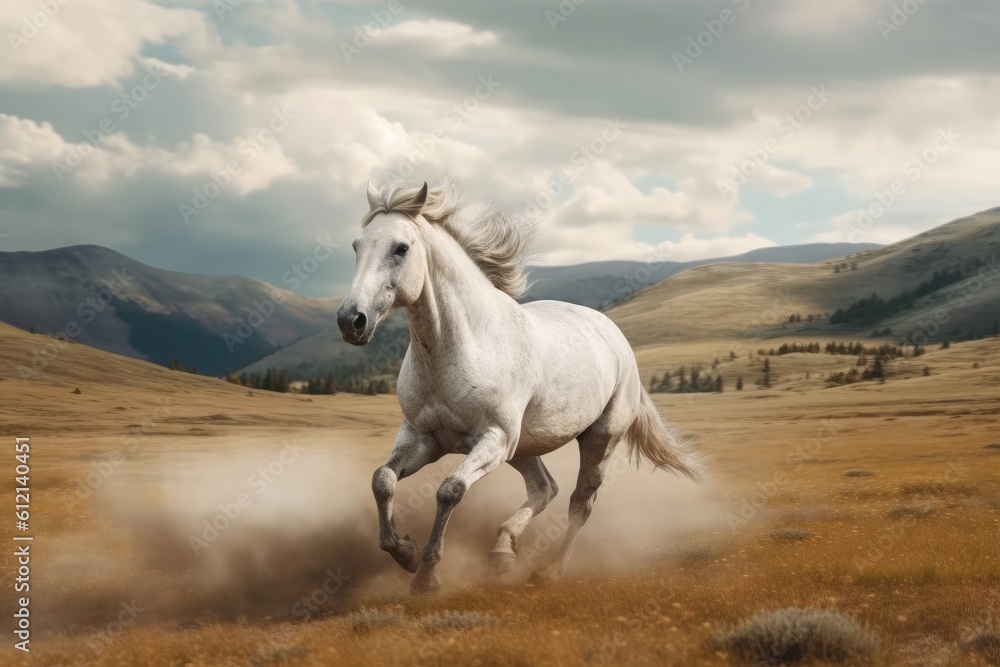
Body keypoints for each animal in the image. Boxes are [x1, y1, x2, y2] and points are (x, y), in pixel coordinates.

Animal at [336, 178, 702, 594]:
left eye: (401, 248)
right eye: (357, 246)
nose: (351, 320)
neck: (458, 346)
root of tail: (616, 338)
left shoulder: (493, 439)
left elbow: (449, 490)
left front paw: (426, 576)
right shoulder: (423, 437)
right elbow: (382, 480)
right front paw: (405, 552)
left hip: (597, 439)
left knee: (579, 503)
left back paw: (551, 571)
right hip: (523, 447)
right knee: (545, 488)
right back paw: (502, 550)